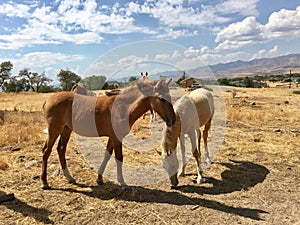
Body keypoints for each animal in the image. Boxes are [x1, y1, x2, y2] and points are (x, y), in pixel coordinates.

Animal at [41, 80, 175, 189]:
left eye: (170, 96)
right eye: (162, 99)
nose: (172, 120)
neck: (123, 107)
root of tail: (48, 100)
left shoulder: (112, 137)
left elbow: (107, 155)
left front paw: (99, 179)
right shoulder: (116, 138)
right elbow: (119, 158)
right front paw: (122, 183)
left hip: (66, 130)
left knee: (61, 149)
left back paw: (69, 177)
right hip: (54, 130)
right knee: (47, 151)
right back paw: (45, 182)